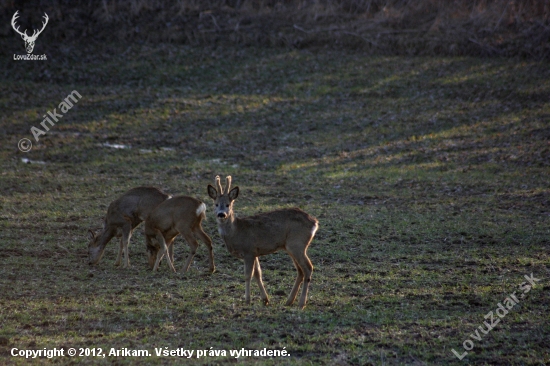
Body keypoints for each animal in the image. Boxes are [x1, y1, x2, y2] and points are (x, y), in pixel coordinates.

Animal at [208, 174, 320, 308]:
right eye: (215, 204)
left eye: (228, 204)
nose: (221, 214)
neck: (236, 232)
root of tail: (314, 222)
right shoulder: (255, 252)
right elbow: (258, 274)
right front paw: (265, 299)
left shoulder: (249, 250)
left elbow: (248, 275)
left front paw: (247, 300)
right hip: (291, 247)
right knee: (300, 271)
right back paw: (289, 301)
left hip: (297, 243)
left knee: (308, 267)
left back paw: (301, 303)